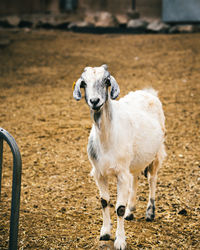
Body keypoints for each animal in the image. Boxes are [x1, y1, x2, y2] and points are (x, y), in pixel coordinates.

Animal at [72, 65, 166, 250]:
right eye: (84, 83)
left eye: (106, 81)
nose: (95, 101)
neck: (107, 139)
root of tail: (147, 92)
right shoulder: (99, 173)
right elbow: (104, 202)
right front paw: (105, 233)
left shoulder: (121, 174)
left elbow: (119, 208)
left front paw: (120, 241)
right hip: (135, 159)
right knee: (136, 178)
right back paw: (131, 210)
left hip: (156, 153)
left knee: (152, 179)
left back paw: (150, 212)